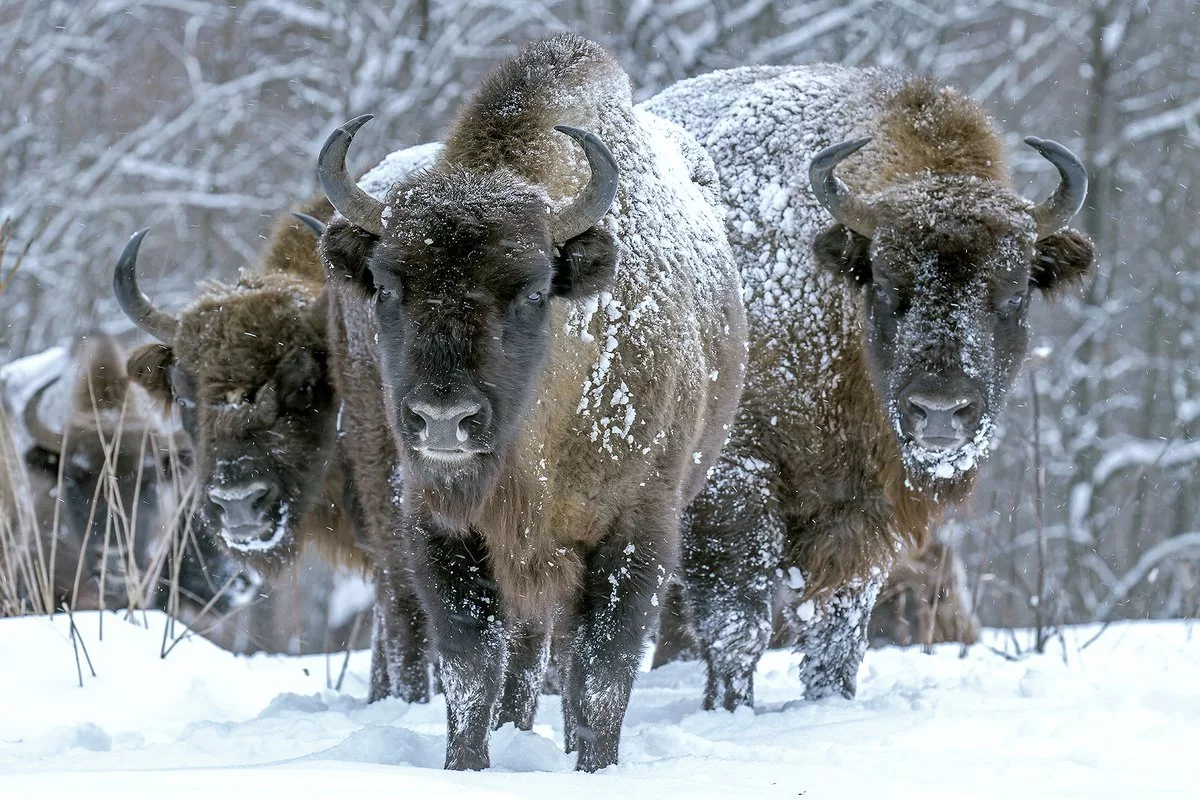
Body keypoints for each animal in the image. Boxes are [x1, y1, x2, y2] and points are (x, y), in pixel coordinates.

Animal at [316, 34, 748, 772]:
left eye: (533, 290)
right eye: (387, 286)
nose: (444, 422)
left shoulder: (632, 534)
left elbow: (603, 671)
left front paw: (595, 765)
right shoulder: (444, 530)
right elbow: (470, 665)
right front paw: (465, 766)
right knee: (522, 651)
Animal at [648, 67, 1099, 705]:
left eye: (1014, 295)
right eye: (886, 286)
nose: (940, 412)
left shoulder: (866, 507)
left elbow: (838, 624)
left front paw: (828, 701)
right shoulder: (736, 478)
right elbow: (738, 623)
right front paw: (728, 709)